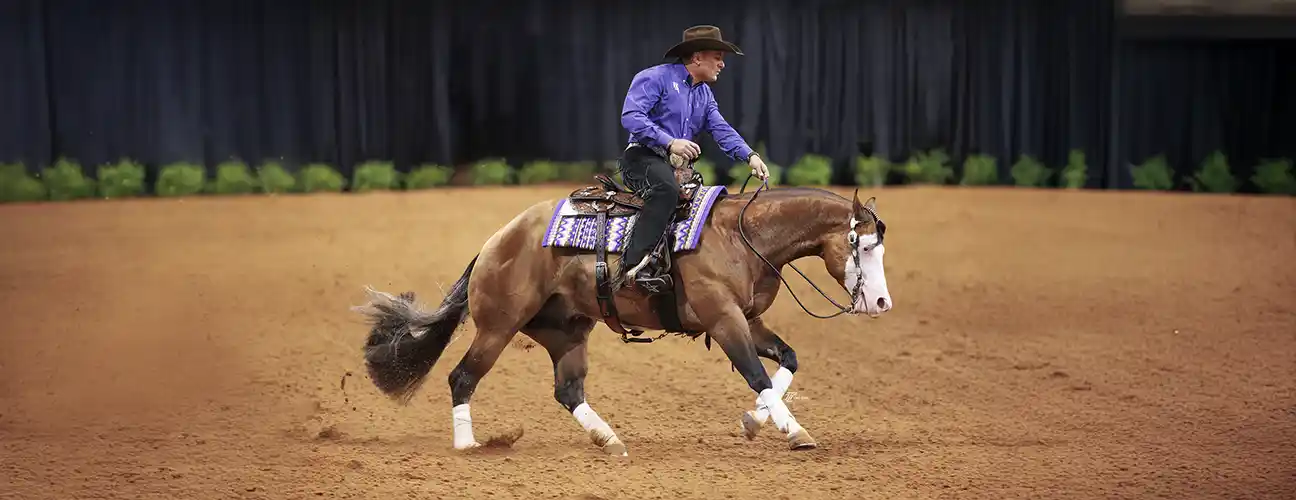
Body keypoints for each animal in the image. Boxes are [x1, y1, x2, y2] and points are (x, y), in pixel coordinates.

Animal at [351, 163, 893, 457]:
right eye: (864, 246)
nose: (882, 302)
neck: (741, 237)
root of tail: (495, 241)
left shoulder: (748, 320)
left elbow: (787, 362)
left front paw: (755, 421)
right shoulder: (724, 320)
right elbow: (757, 374)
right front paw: (794, 431)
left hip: (567, 330)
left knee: (568, 390)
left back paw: (609, 440)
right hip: (498, 327)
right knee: (462, 376)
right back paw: (468, 447)